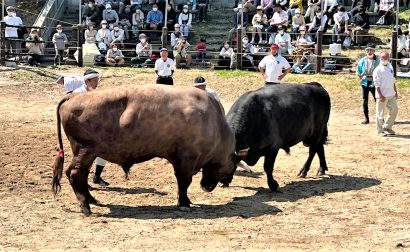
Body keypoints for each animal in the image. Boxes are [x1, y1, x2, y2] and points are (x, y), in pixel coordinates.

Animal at [52, 84, 248, 215]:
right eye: (230, 168)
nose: (206, 187)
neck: (213, 122)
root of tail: (74, 96)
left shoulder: (178, 159)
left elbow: (180, 182)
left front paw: (184, 200)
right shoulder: (187, 159)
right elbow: (184, 181)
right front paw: (184, 203)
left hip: (85, 152)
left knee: (82, 175)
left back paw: (91, 199)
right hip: (85, 150)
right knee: (75, 174)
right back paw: (85, 206)